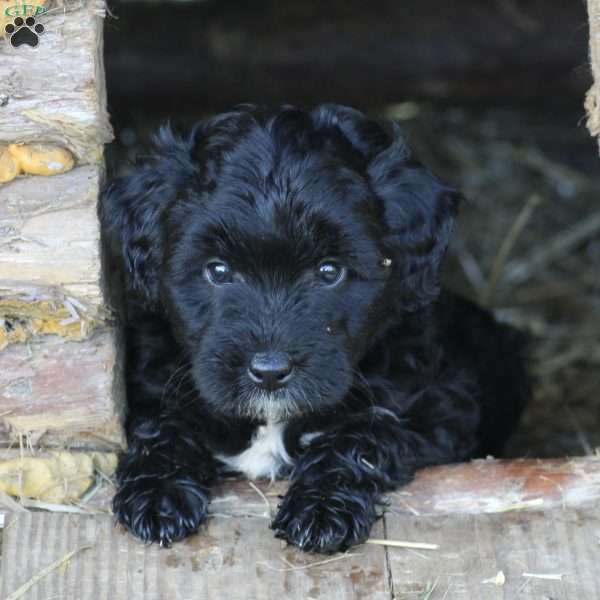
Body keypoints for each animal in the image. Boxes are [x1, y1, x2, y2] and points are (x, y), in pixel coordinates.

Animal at [102, 103, 528, 552]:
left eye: (329, 271)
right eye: (217, 271)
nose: (269, 372)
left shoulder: (438, 405)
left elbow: (366, 433)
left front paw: (321, 509)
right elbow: (161, 421)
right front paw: (157, 493)